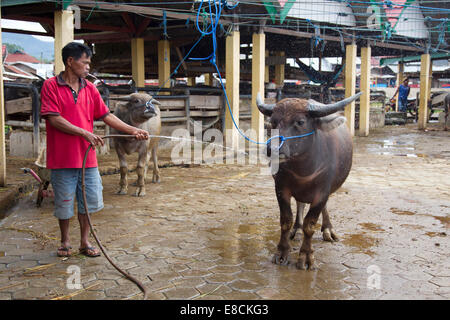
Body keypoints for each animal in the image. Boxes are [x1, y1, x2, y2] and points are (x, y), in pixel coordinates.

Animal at [256, 92, 362, 270]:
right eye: (273, 122)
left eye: (300, 122)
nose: (273, 149)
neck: (303, 169)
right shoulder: (281, 188)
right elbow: (286, 220)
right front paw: (282, 253)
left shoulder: (322, 192)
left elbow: (310, 224)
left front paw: (305, 257)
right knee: (300, 205)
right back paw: (297, 230)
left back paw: (327, 230)